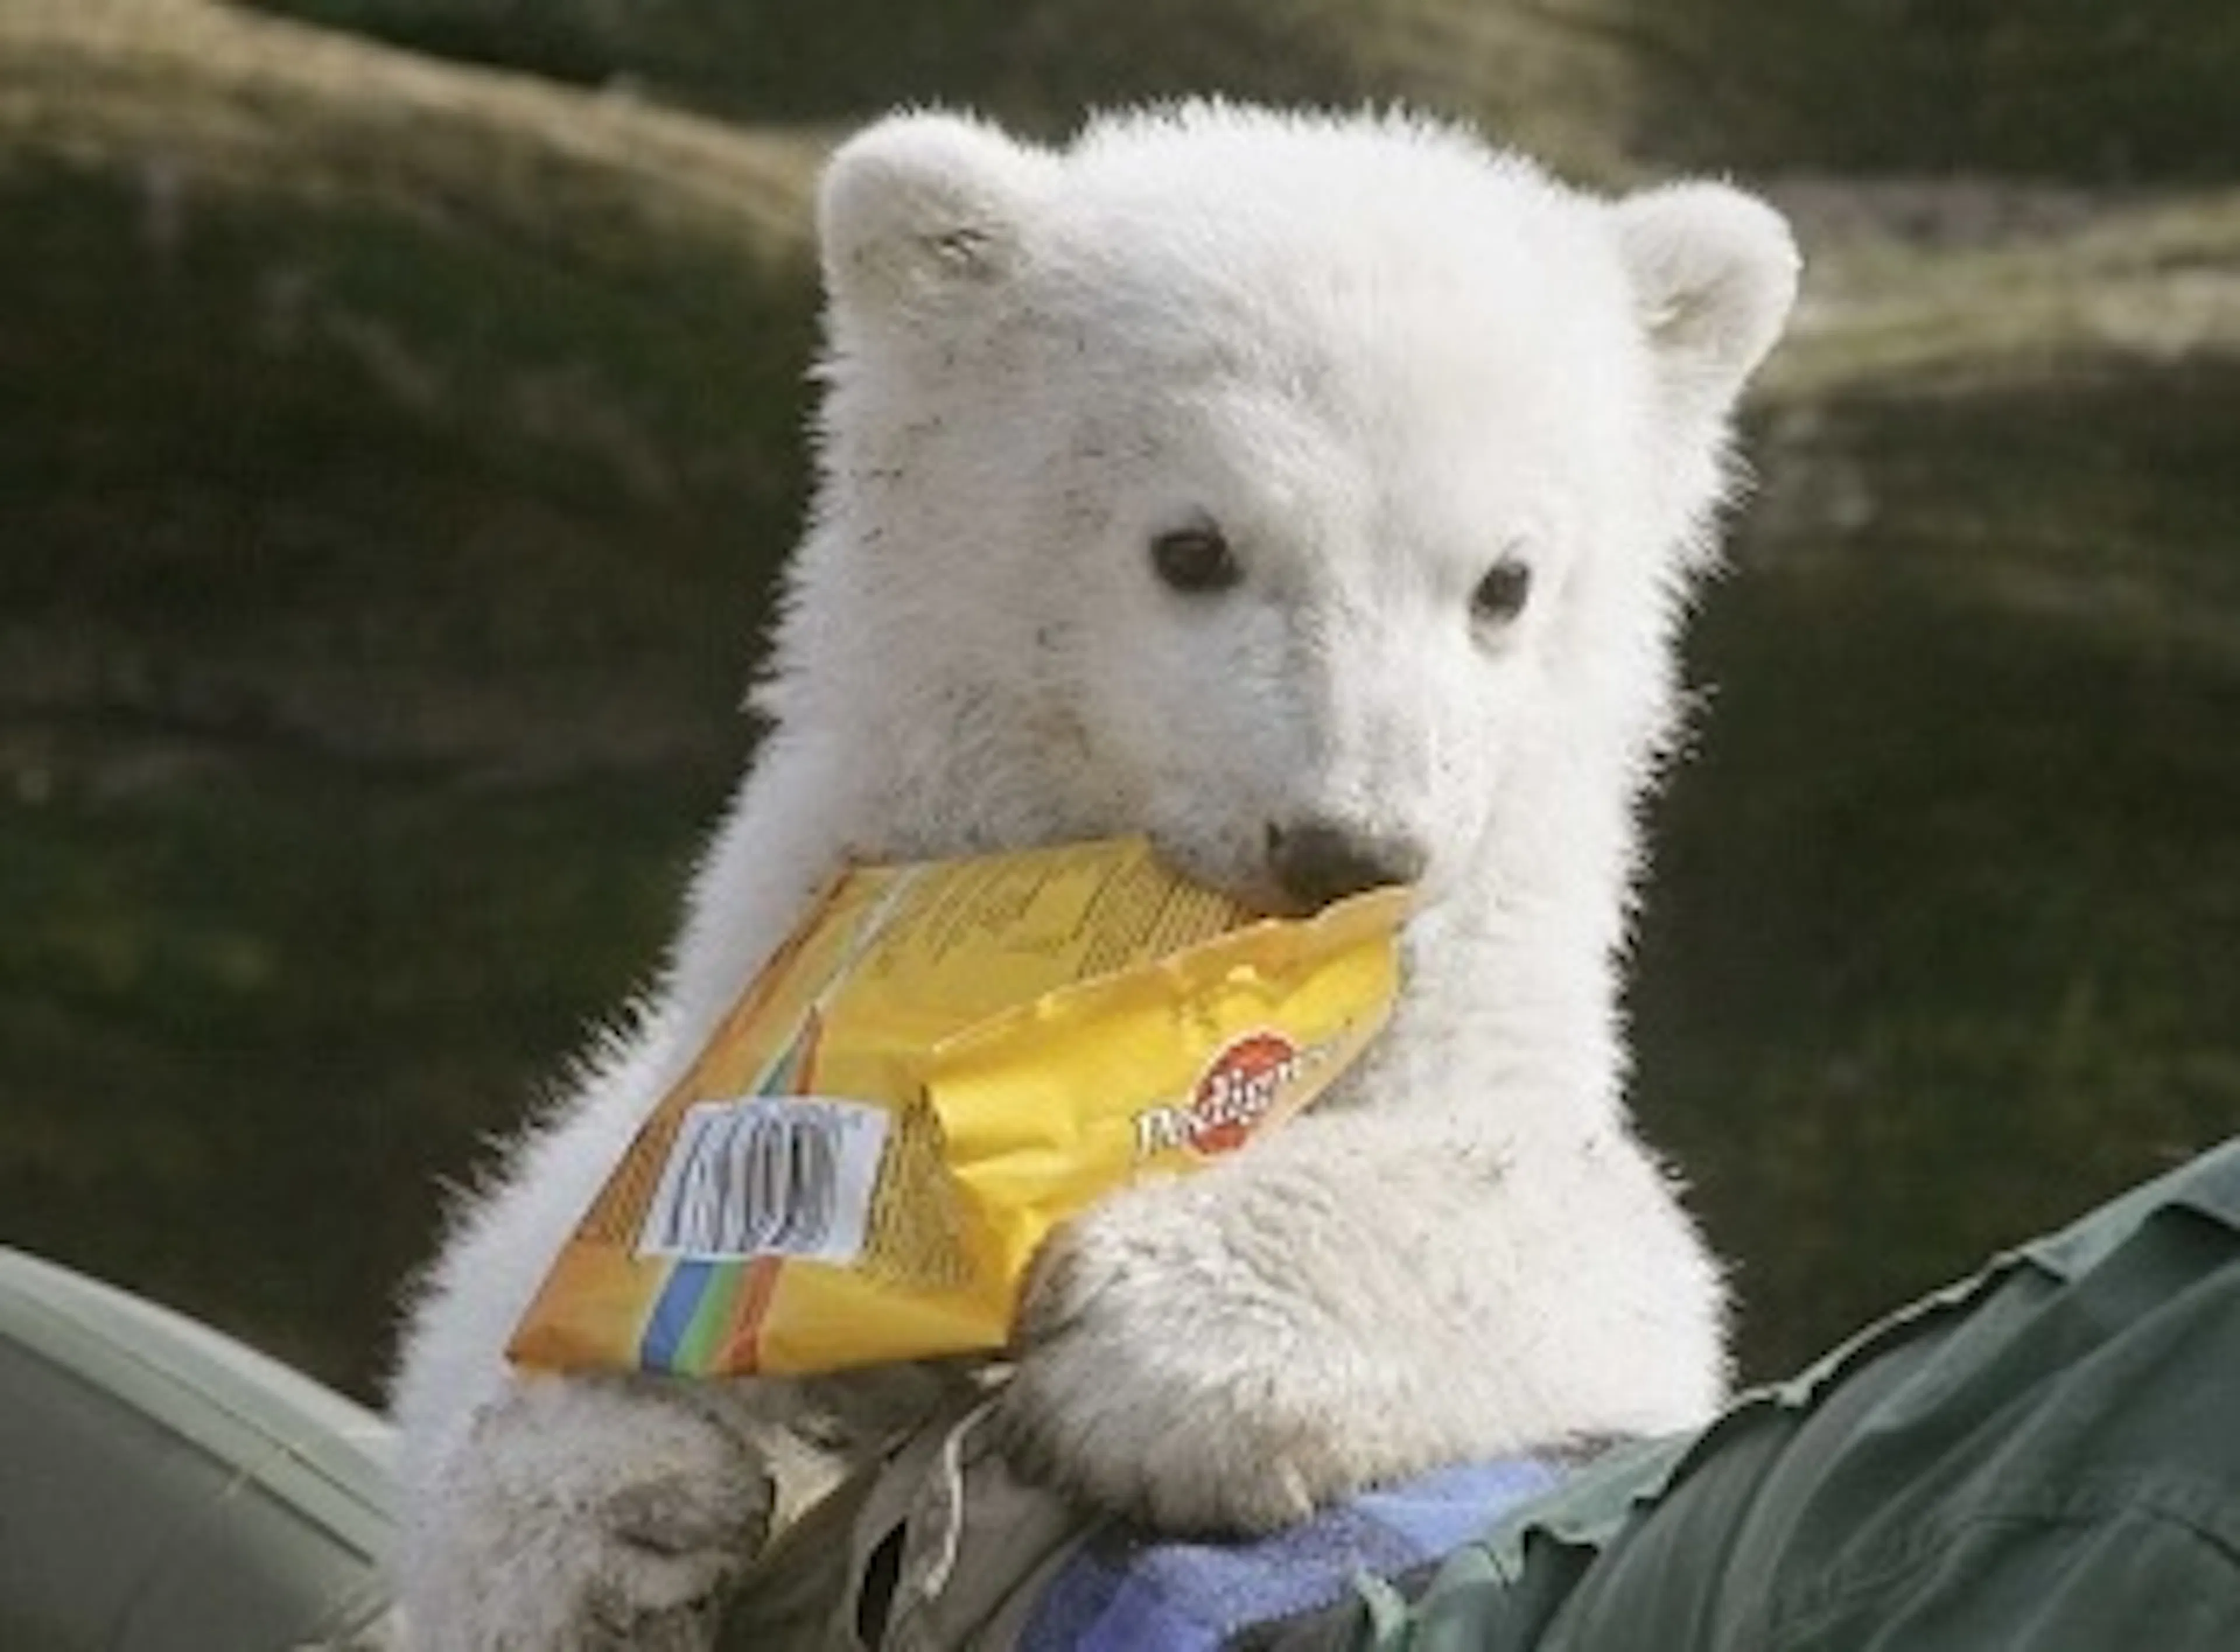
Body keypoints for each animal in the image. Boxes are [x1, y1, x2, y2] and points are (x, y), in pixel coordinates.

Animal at [390, 101, 1799, 1649]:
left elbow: (1593, 1244)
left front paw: (1147, 1335)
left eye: (1504, 582)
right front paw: (626, 1500)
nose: (1349, 847)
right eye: (1193, 546)